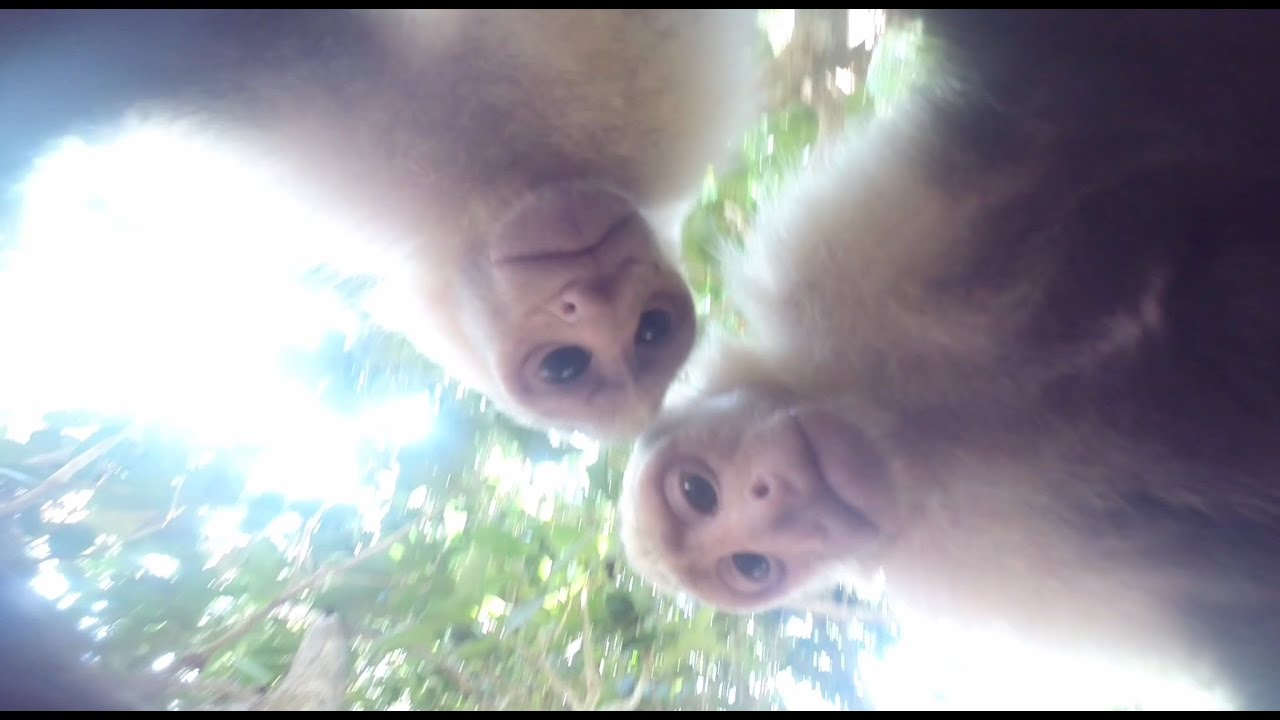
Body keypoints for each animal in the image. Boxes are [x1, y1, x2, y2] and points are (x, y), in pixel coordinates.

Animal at [619, 9, 1280, 710]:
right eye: (754, 565)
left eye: (699, 492)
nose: (780, 503)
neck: (913, 427)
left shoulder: (828, 265)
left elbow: (1101, 62)